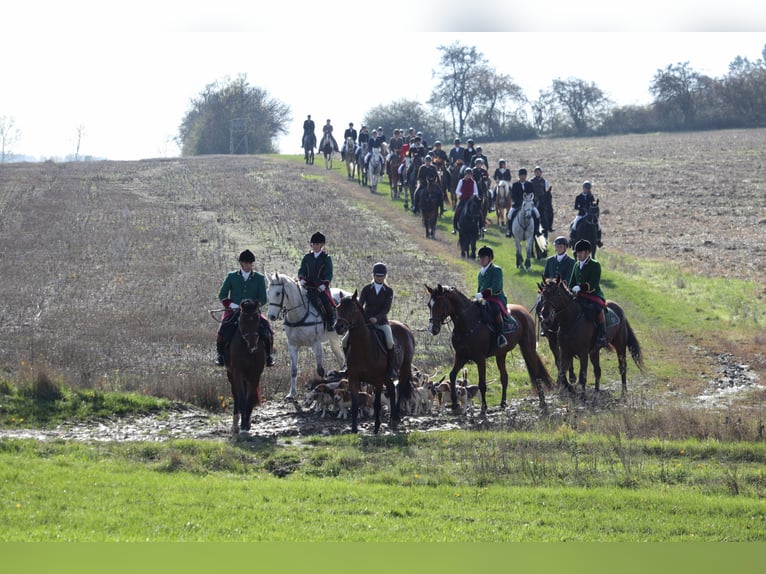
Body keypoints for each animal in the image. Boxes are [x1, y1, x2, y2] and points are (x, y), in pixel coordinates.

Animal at [225, 300, 268, 434]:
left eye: (257, 321)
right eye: (242, 321)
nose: (253, 346)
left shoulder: (255, 374)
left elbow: (249, 399)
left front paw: (246, 424)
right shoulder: (237, 373)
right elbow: (242, 399)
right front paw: (242, 425)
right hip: (231, 375)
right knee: (236, 396)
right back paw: (235, 424)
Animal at [332, 290, 414, 434]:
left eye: (353, 309)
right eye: (338, 307)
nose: (339, 327)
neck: (363, 348)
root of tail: (405, 326)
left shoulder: (378, 380)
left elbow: (376, 404)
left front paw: (376, 428)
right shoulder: (353, 379)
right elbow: (354, 405)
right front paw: (354, 429)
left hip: (404, 368)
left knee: (400, 388)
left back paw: (396, 417)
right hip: (387, 376)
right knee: (392, 389)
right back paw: (392, 419)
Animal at [424, 286, 556, 414]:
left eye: (439, 304)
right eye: (429, 305)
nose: (433, 329)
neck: (467, 323)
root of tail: (524, 311)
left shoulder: (480, 359)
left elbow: (482, 384)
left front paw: (483, 408)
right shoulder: (461, 356)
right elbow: (452, 375)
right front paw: (455, 404)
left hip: (528, 349)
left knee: (537, 375)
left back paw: (542, 402)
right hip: (501, 354)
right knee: (504, 377)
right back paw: (503, 404)